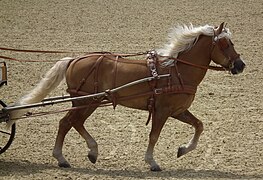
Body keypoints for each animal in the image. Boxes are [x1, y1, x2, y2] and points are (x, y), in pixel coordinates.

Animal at [9, 22, 245, 170]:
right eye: (225, 44)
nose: (241, 65)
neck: (175, 70)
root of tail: (75, 59)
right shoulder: (162, 111)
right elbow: (154, 136)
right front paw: (152, 162)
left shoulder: (178, 110)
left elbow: (199, 126)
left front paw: (183, 149)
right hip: (85, 100)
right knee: (66, 123)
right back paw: (63, 157)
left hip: (90, 101)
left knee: (74, 123)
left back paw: (91, 152)